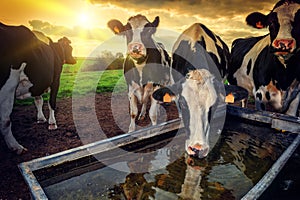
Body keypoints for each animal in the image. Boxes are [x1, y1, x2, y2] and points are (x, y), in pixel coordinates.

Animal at [0, 22, 75, 153]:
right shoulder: (56, 80)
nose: (75, 60)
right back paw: (16, 146)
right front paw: (52, 123)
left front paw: (41, 118)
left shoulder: (38, 82)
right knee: (5, 120)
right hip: (8, 85)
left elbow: (39, 101)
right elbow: (51, 102)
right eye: (70, 49)